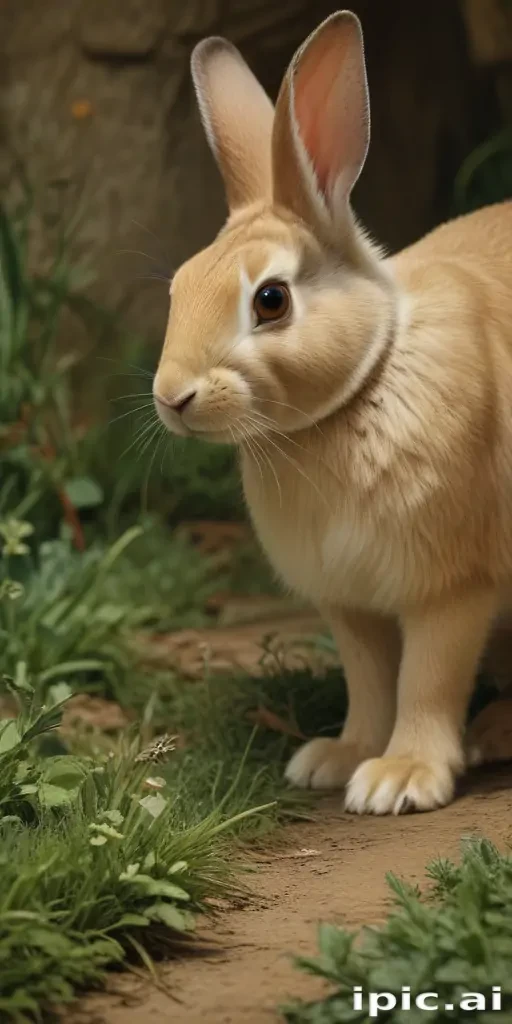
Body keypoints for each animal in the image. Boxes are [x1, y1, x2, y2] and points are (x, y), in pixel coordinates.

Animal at [153, 9, 512, 815]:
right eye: (179, 285)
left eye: (271, 299)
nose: (171, 397)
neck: (356, 392)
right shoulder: (351, 603)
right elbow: (371, 680)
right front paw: (338, 757)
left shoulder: (452, 589)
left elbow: (427, 679)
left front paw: (399, 779)